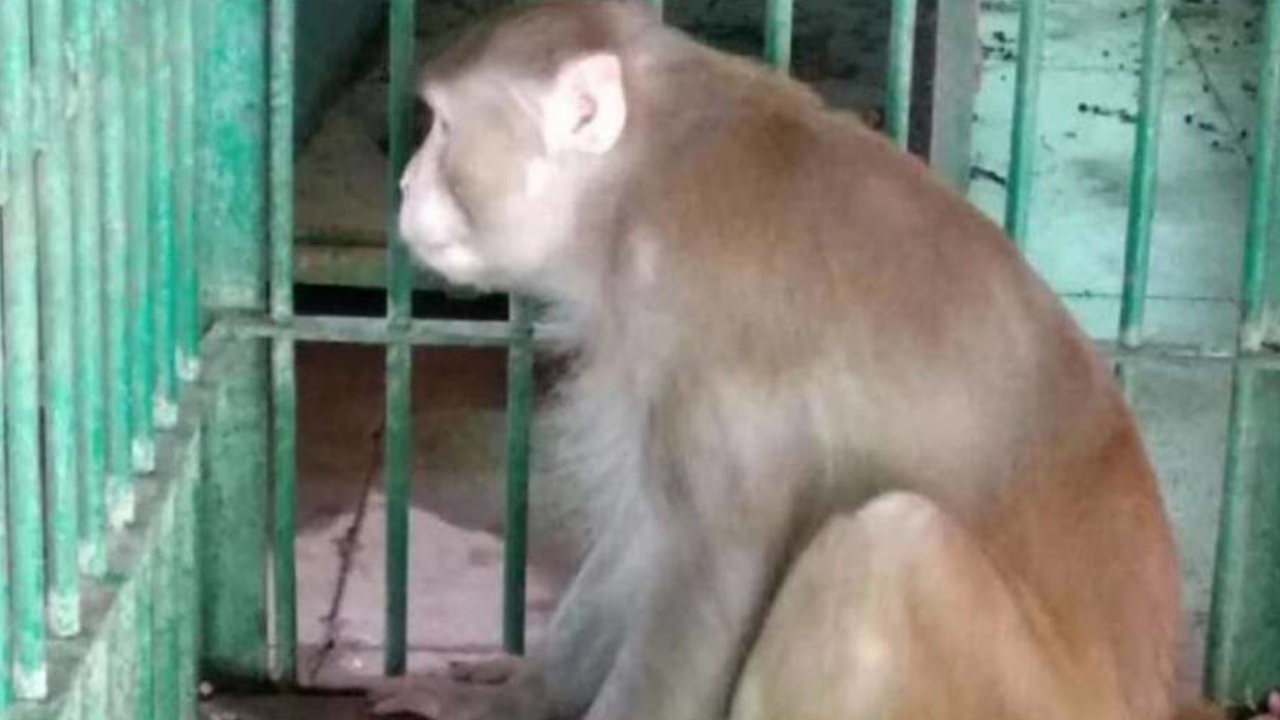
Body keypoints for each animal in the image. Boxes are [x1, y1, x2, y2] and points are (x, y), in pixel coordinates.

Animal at [368, 1, 1191, 718]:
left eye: (443, 128)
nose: (405, 183)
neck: (643, 176)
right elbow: (645, 533)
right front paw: (502, 702)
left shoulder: (704, 332)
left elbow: (706, 570)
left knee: (888, 544)